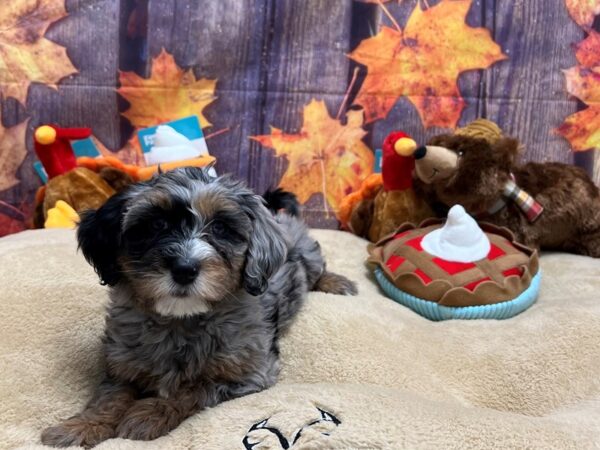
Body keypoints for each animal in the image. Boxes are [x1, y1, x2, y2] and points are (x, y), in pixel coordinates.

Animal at [41, 168, 356, 446]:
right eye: (155, 225)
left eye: (220, 227)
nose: (185, 268)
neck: (180, 320)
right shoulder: (121, 364)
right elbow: (108, 397)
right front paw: (79, 427)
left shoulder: (249, 373)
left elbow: (193, 388)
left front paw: (149, 413)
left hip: (308, 254)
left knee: (317, 267)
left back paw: (337, 283)